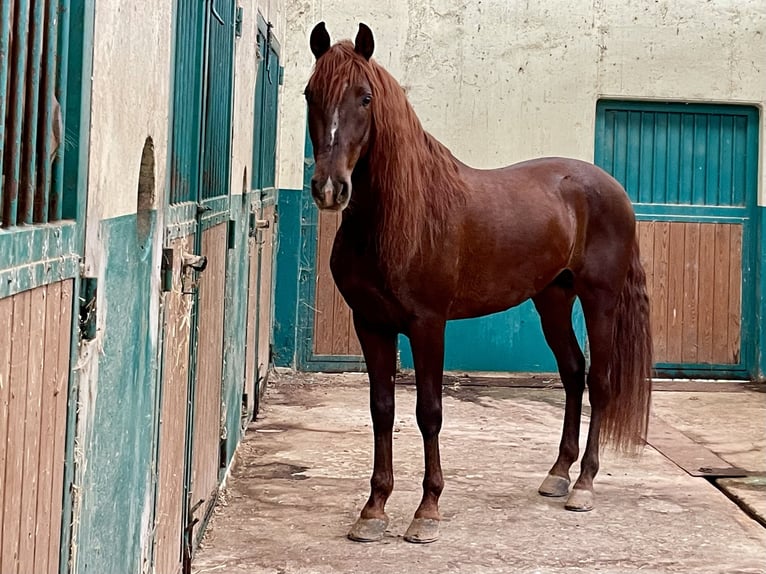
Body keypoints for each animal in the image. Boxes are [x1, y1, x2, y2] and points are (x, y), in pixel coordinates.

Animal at [306, 22, 656, 544]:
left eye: (365, 98)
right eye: (310, 94)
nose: (330, 189)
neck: (400, 219)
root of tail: (612, 188)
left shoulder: (428, 325)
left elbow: (428, 411)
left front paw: (427, 511)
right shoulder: (370, 324)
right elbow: (381, 409)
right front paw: (373, 510)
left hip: (600, 301)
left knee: (600, 380)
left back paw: (584, 486)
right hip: (552, 299)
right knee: (573, 372)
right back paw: (558, 474)